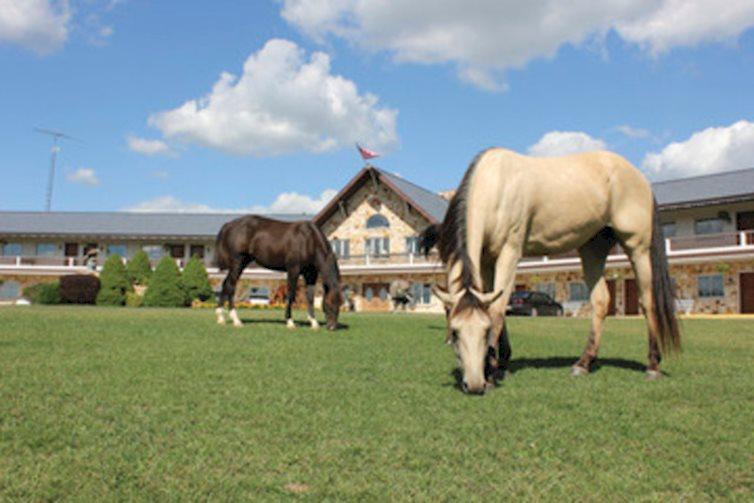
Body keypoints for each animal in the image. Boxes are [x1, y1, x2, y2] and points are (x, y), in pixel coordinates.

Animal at [212, 216, 340, 330]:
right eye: (329, 303)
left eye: (340, 303)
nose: (332, 327)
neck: (308, 240)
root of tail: (228, 225)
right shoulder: (293, 270)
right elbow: (291, 294)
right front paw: (290, 322)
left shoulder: (311, 274)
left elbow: (310, 297)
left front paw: (313, 322)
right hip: (237, 263)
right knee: (231, 286)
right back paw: (236, 320)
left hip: (242, 263)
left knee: (226, 284)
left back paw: (221, 317)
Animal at [420, 148, 680, 396]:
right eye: (455, 333)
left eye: (485, 332)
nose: (474, 384)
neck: (496, 184)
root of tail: (641, 178)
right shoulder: (485, 260)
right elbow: (496, 304)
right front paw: (502, 364)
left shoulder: (510, 251)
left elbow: (497, 310)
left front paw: (493, 372)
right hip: (593, 248)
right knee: (601, 301)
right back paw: (583, 363)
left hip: (638, 248)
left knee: (648, 301)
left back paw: (652, 366)